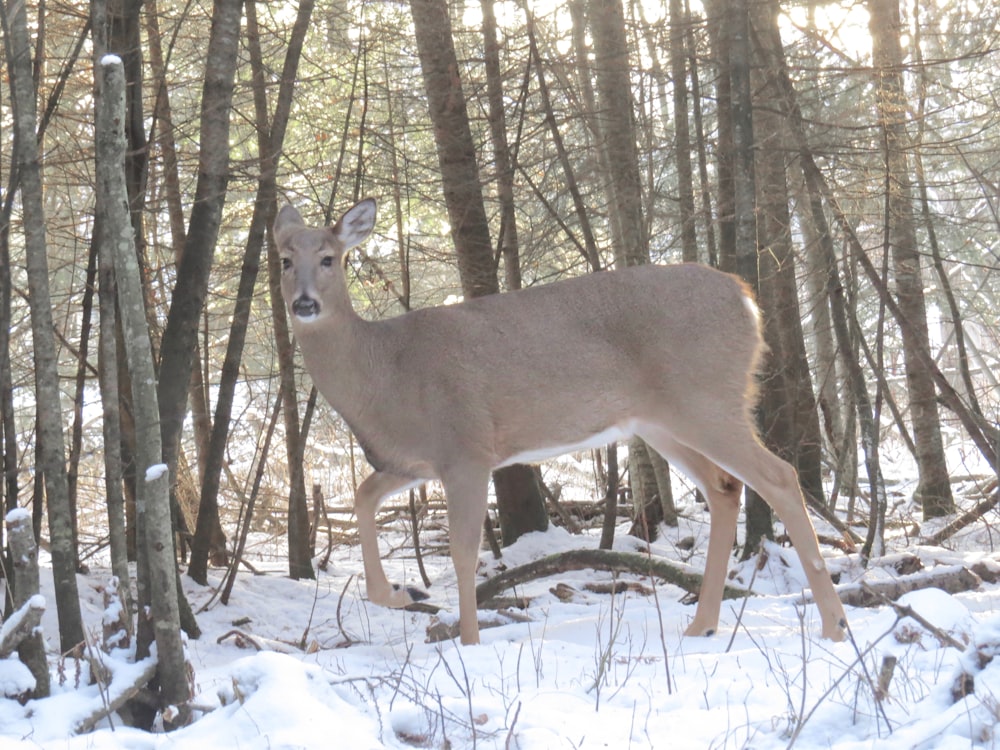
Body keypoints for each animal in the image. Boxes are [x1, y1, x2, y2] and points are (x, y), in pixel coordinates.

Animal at [278, 198, 848, 648]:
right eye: (284, 259)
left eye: (329, 258)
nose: (303, 302)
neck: (386, 371)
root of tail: (746, 298)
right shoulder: (411, 461)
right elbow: (362, 496)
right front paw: (401, 592)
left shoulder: (467, 447)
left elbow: (465, 552)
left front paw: (468, 641)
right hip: (664, 420)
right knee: (725, 488)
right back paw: (702, 625)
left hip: (707, 398)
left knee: (778, 476)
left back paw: (834, 625)